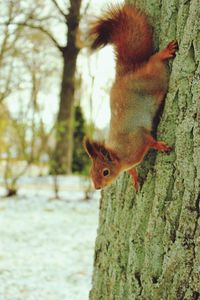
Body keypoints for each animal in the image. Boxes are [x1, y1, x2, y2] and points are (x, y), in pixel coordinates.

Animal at [83, 3, 178, 191]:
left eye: (105, 172)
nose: (97, 187)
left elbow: (150, 141)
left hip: (153, 78)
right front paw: (134, 177)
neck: (120, 156)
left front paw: (161, 146)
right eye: (91, 172)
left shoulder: (138, 139)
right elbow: (132, 170)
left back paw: (164, 53)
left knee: (154, 61)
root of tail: (126, 73)